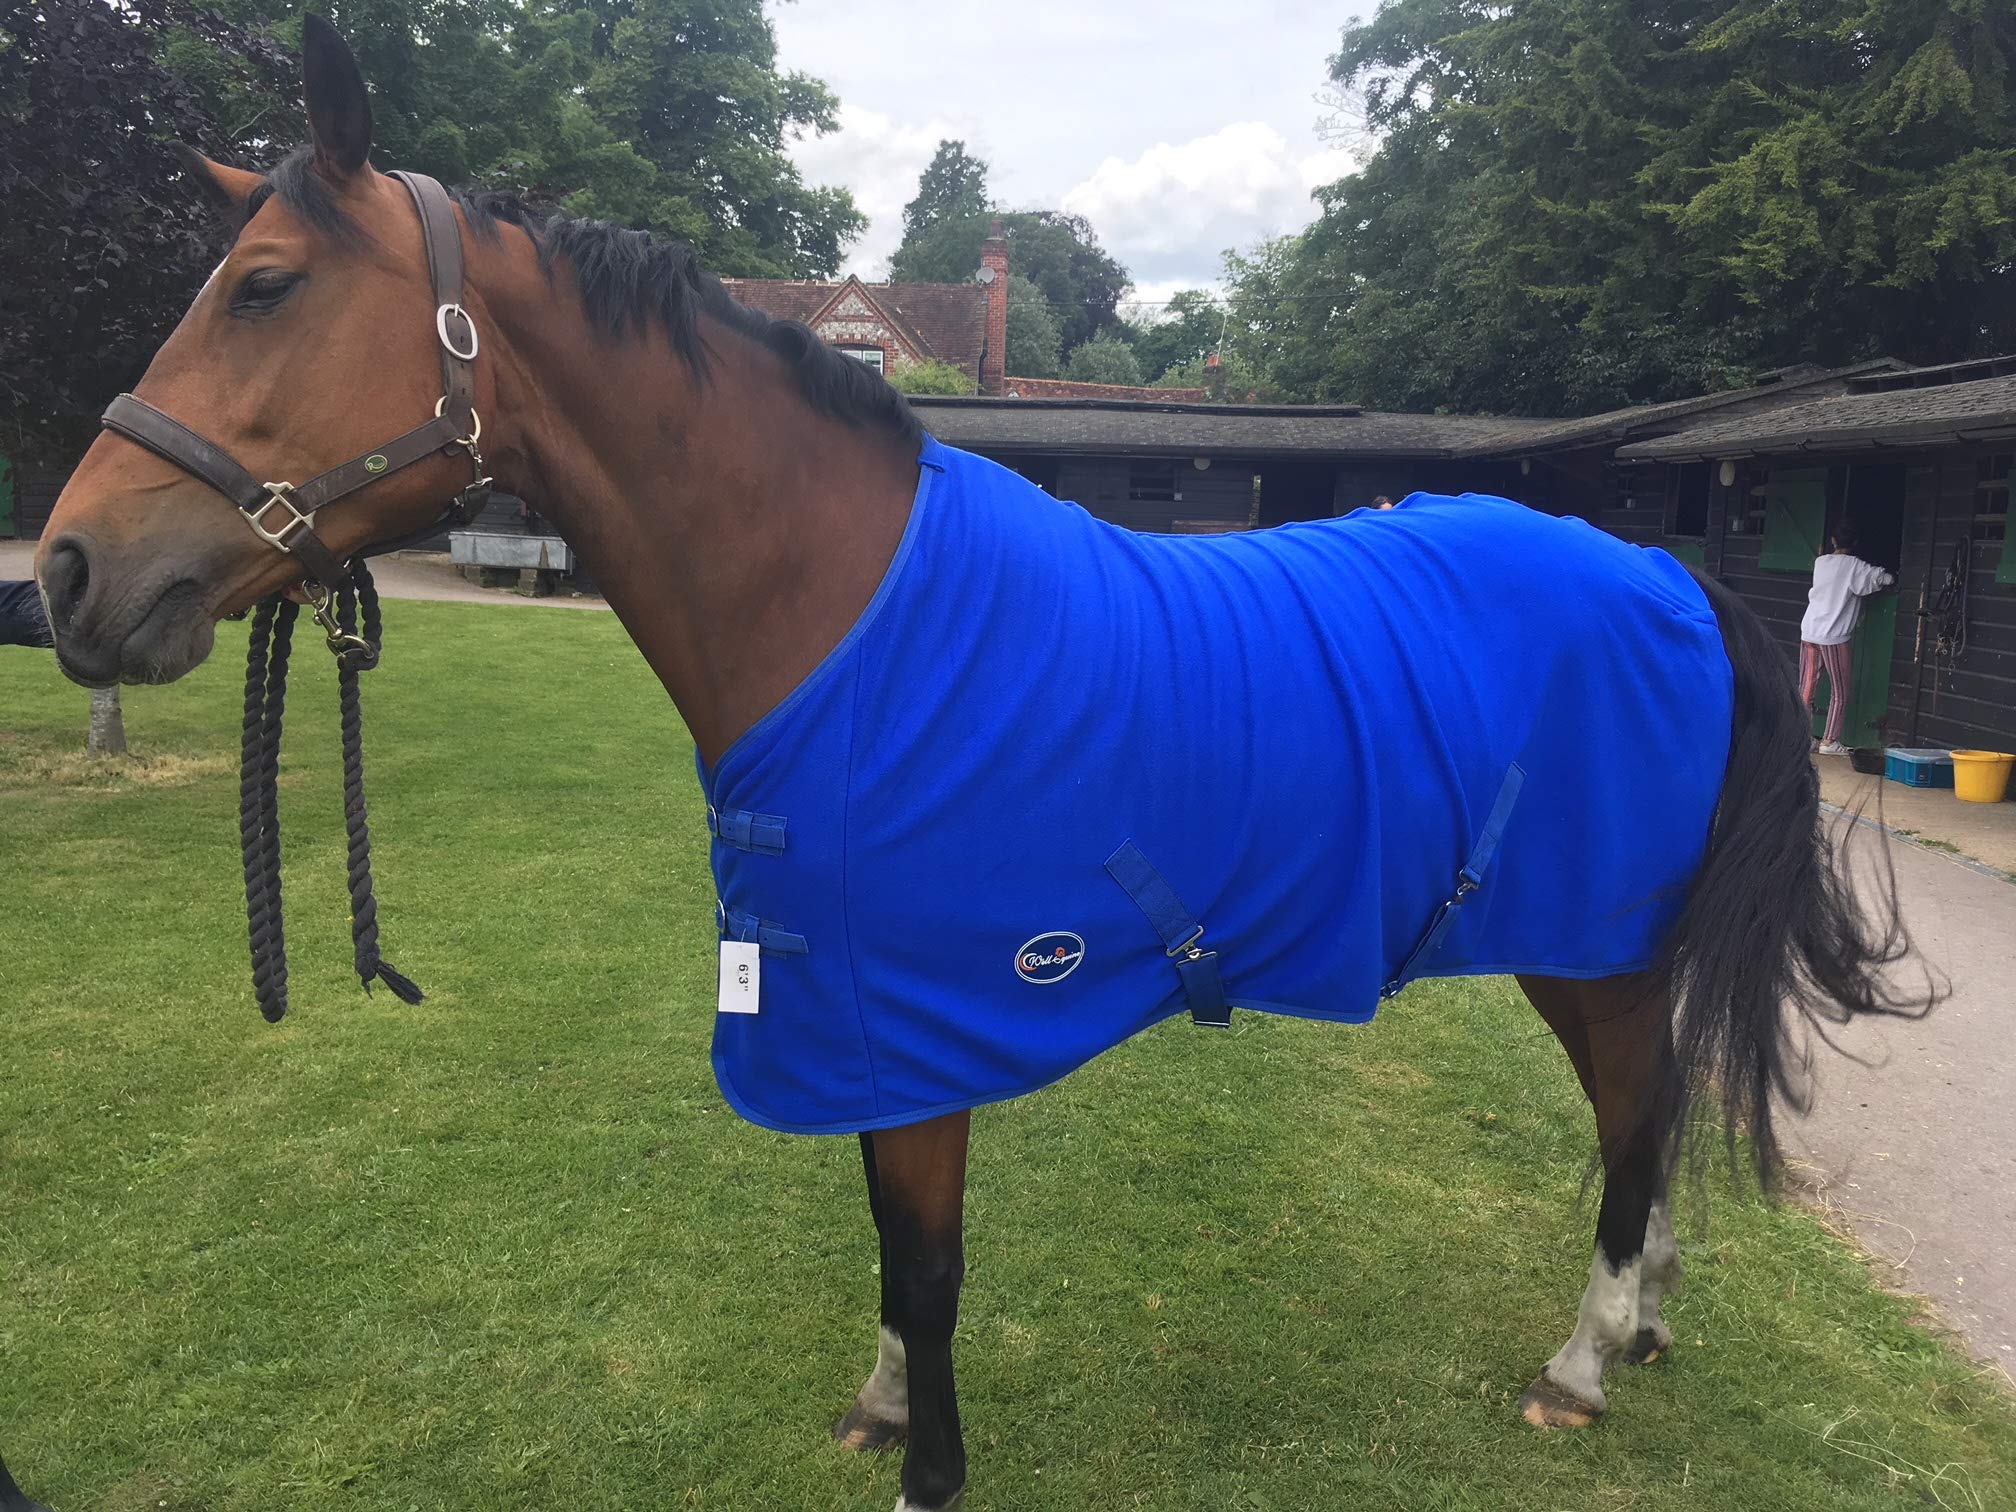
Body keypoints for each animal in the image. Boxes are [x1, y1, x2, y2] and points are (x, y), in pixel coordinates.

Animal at [28, 21, 1927, 1512]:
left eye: (265, 287)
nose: (67, 574)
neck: (848, 618)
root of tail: (1672, 577)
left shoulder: (914, 1017)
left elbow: (927, 1263)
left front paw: (929, 1465)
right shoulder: (857, 1017)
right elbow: (889, 1254)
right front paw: (880, 1410)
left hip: (1588, 946)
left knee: (1634, 1120)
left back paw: (1586, 1358)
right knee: (1653, 1120)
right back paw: (1649, 1320)